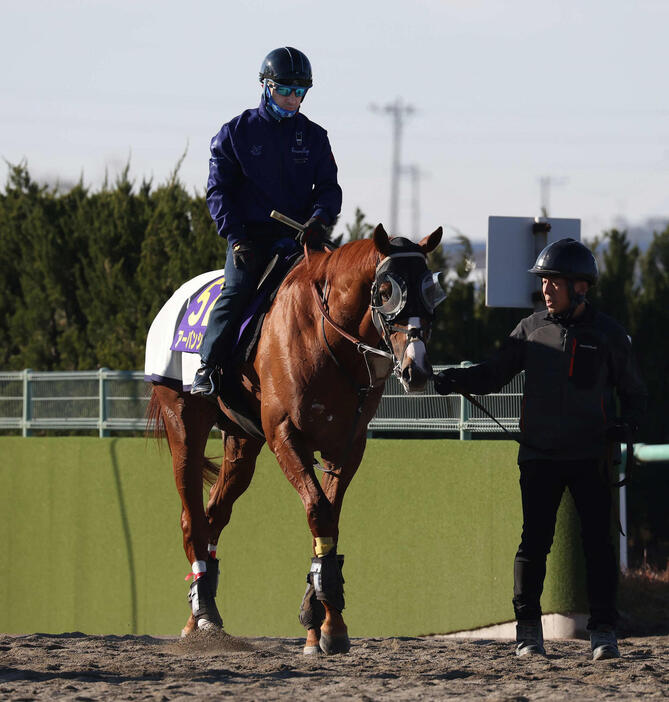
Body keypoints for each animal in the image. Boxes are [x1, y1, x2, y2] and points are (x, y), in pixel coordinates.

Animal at [149, 224, 446, 656]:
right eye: (386, 290)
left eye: (430, 289)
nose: (417, 369)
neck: (326, 341)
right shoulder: (286, 436)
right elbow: (318, 510)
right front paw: (324, 617)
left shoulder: (348, 446)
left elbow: (330, 518)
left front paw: (323, 619)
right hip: (184, 425)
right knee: (192, 518)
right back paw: (203, 613)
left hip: (241, 442)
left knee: (214, 514)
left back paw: (200, 616)